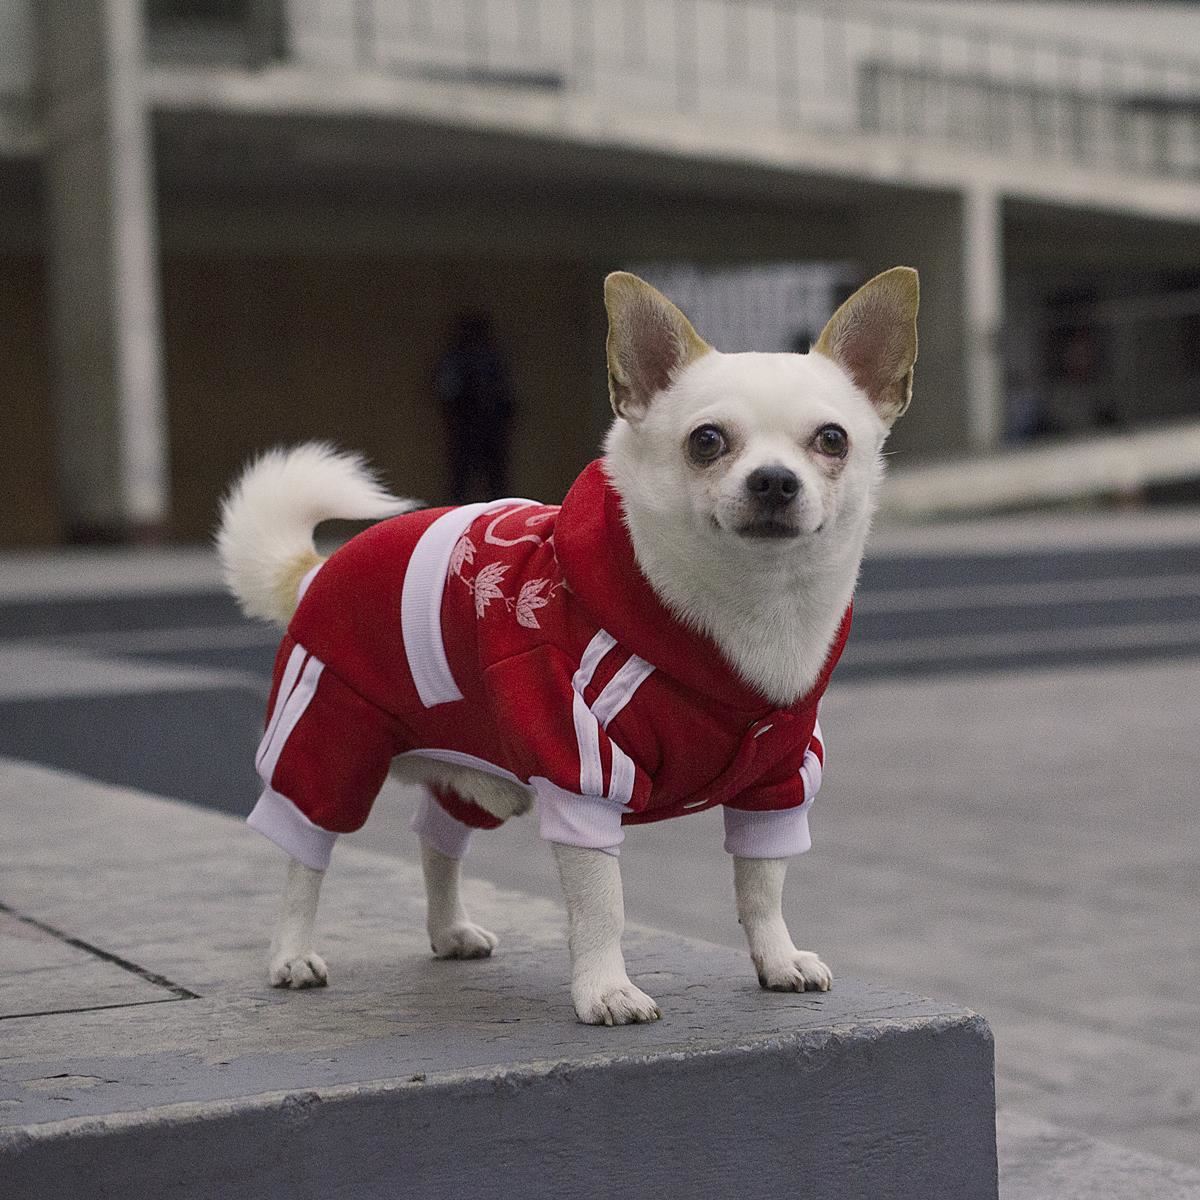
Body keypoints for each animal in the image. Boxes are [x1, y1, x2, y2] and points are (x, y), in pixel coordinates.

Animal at [218, 267, 916, 1027]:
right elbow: (602, 906)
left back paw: (449, 930)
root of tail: (317, 570)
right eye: (706, 441)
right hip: (329, 741)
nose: (774, 480)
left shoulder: (779, 782)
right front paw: (606, 990)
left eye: (831, 439)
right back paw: (292, 953)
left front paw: (778, 960)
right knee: (305, 854)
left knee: (435, 835)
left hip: (481, 767)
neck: (746, 610)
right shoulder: (582, 772)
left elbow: (762, 885)